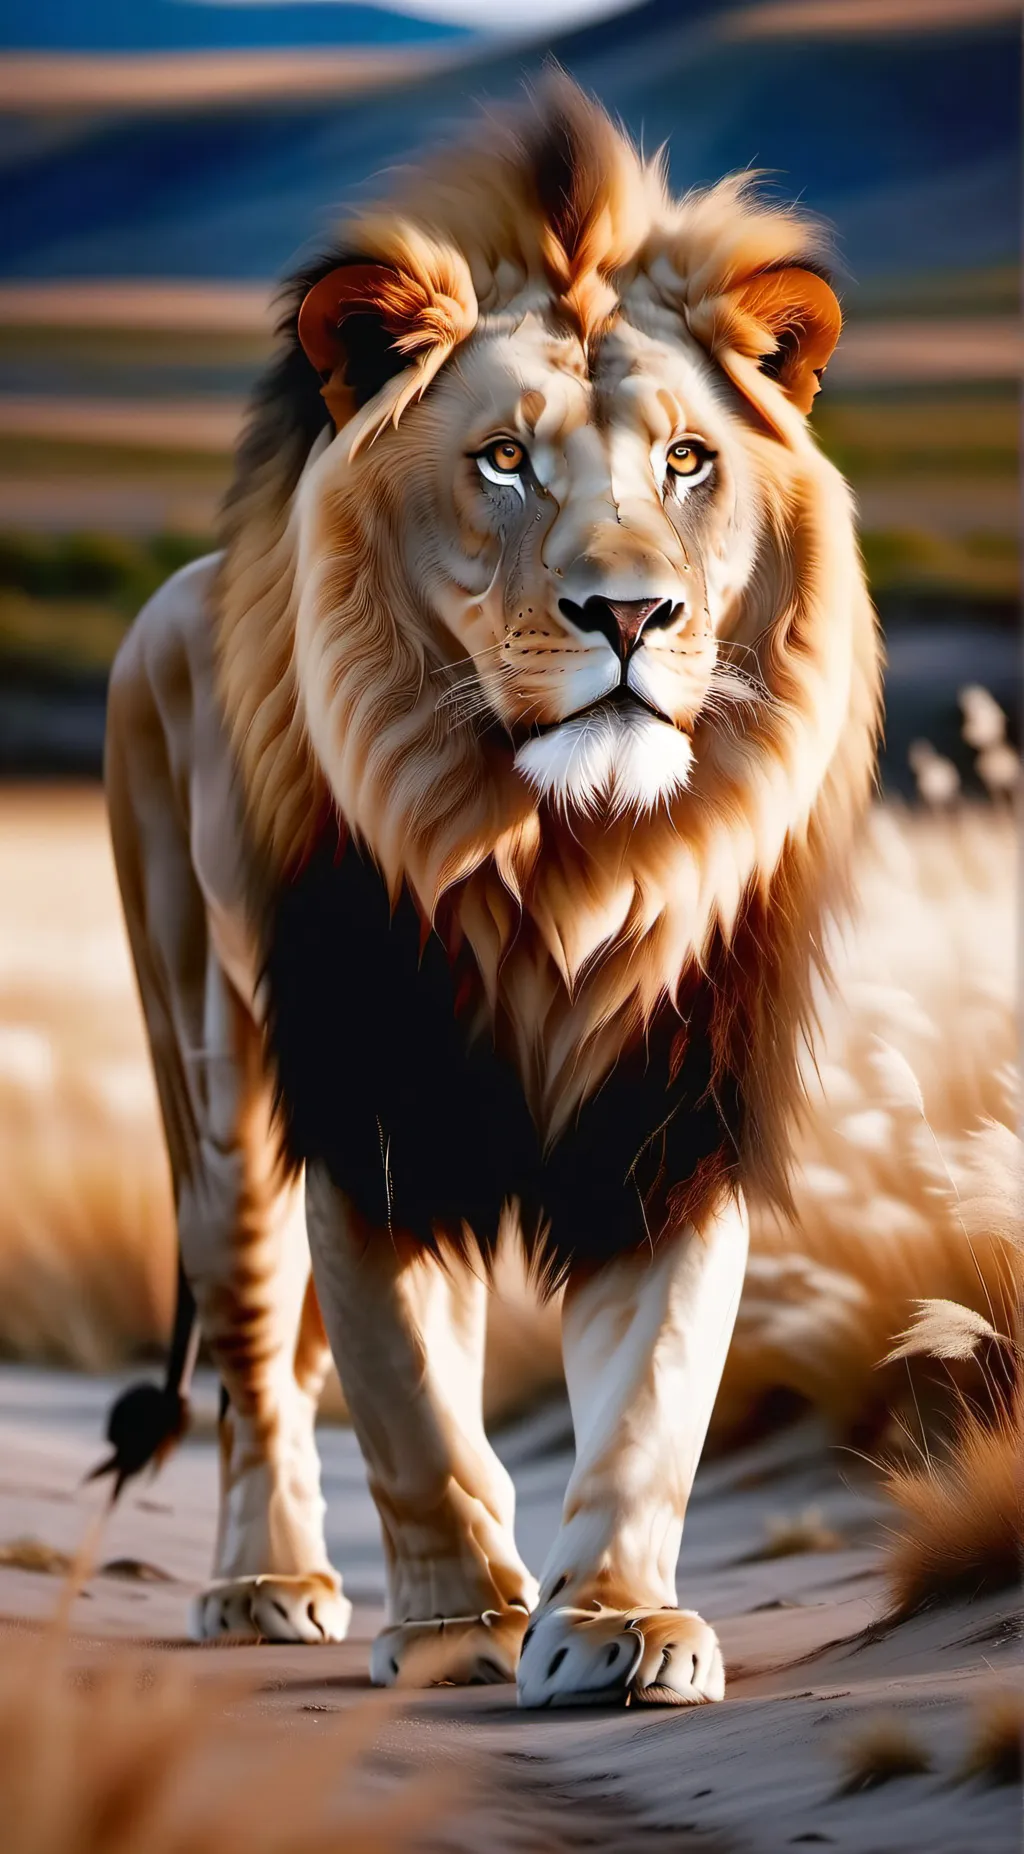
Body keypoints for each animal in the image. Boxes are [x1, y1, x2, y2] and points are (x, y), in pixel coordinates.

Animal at [103, 80, 880, 1706]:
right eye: (506, 460)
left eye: (688, 462)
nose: (630, 613)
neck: (559, 855)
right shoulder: (373, 1108)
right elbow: (404, 1392)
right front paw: (462, 1624)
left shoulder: (675, 1108)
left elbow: (654, 1390)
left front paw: (618, 1626)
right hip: (212, 1078)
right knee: (261, 1350)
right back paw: (269, 1583)